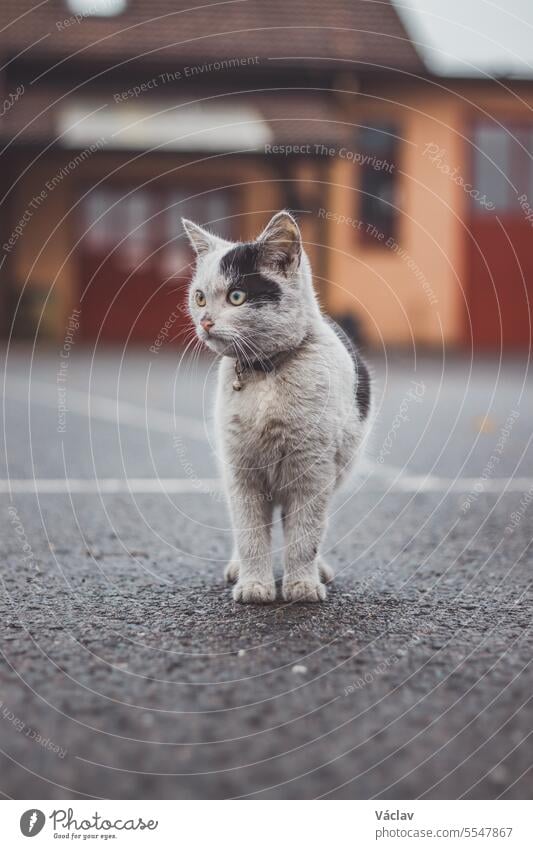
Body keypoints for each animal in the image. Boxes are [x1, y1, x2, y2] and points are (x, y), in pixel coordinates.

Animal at [183, 211, 370, 604]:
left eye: (237, 296)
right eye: (200, 298)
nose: (205, 321)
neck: (265, 372)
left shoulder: (312, 473)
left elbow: (305, 537)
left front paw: (302, 585)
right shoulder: (241, 472)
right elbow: (251, 534)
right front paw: (255, 585)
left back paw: (317, 570)